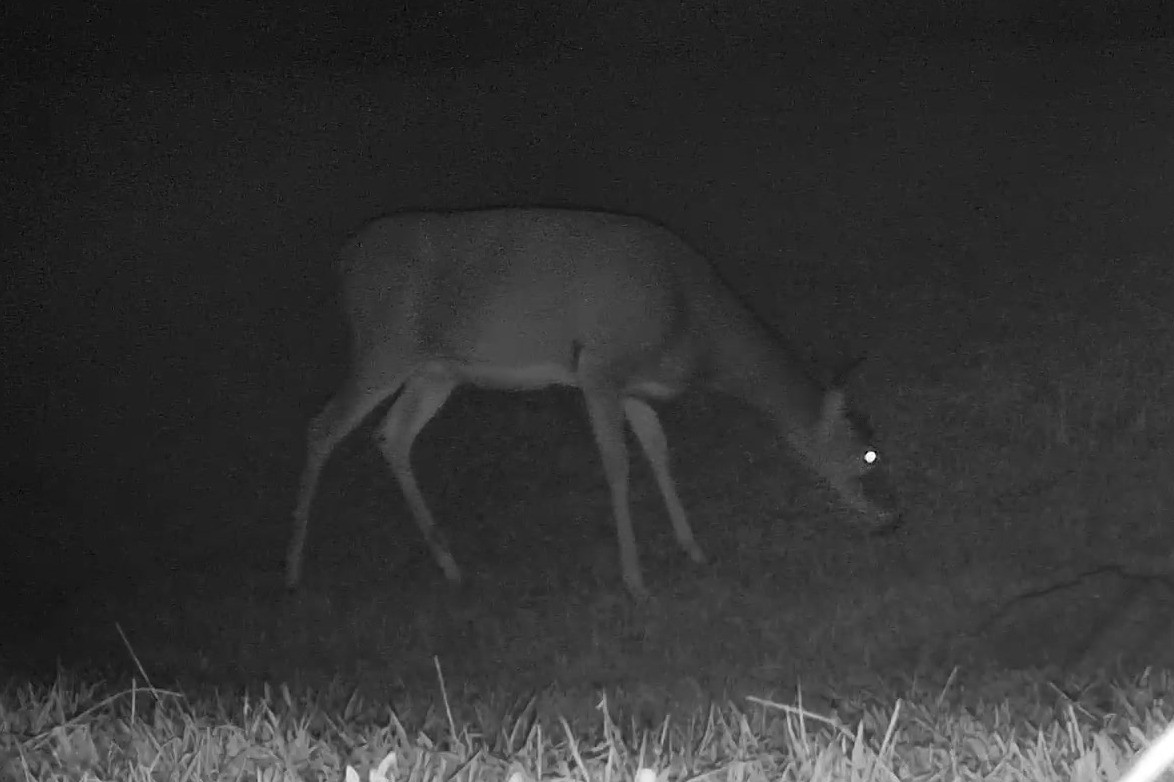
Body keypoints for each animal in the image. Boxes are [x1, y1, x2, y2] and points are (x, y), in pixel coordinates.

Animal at [285, 207, 898, 599]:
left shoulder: (635, 385)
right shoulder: (599, 367)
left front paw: (693, 549)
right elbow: (619, 464)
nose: (891, 518)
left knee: (392, 435)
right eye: (870, 454)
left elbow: (660, 452)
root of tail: (344, 261)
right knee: (321, 426)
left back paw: (451, 566)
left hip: (436, 369)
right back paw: (292, 569)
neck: (693, 325)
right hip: (383, 345)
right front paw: (636, 580)